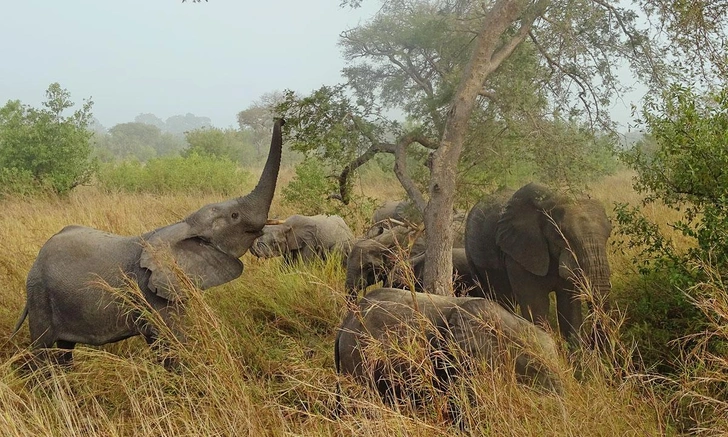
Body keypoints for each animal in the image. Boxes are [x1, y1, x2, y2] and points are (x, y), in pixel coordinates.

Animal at [12, 118, 284, 364]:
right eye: (234, 216)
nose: (279, 118)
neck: (183, 225)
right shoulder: (151, 293)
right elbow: (170, 342)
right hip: (40, 294)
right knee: (43, 350)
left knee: (64, 350)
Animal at [464, 182, 612, 342]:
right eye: (561, 235)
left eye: (609, 233)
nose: (592, 341)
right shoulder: (519, 252)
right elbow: (537, 305)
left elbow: (569, 304)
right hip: (472, 258)